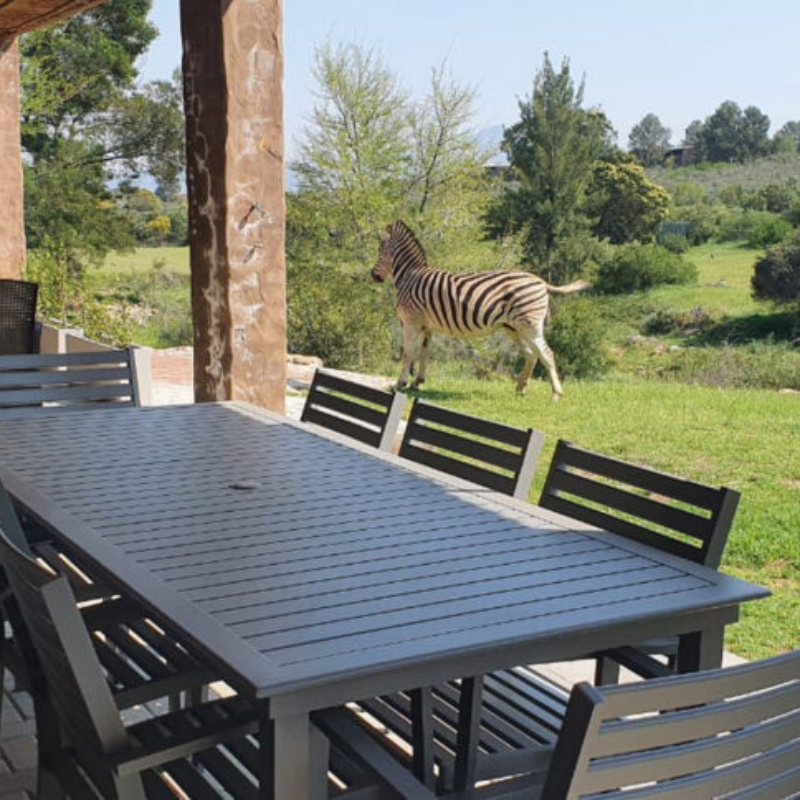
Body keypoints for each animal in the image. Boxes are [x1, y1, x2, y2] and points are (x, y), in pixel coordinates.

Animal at [371, 220, 589, 400]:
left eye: (380, 250)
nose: (373, 275)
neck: (410, 276)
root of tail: (541, 282)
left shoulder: (411, 321)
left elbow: (408, 352)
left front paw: (399, 384)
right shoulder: (426, 326)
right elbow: (423, 353)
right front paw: (417, 382)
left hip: (529, 326)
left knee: (547, 354)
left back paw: (556, 394)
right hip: (514, 327)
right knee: (531, 354)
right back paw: (521, 388)